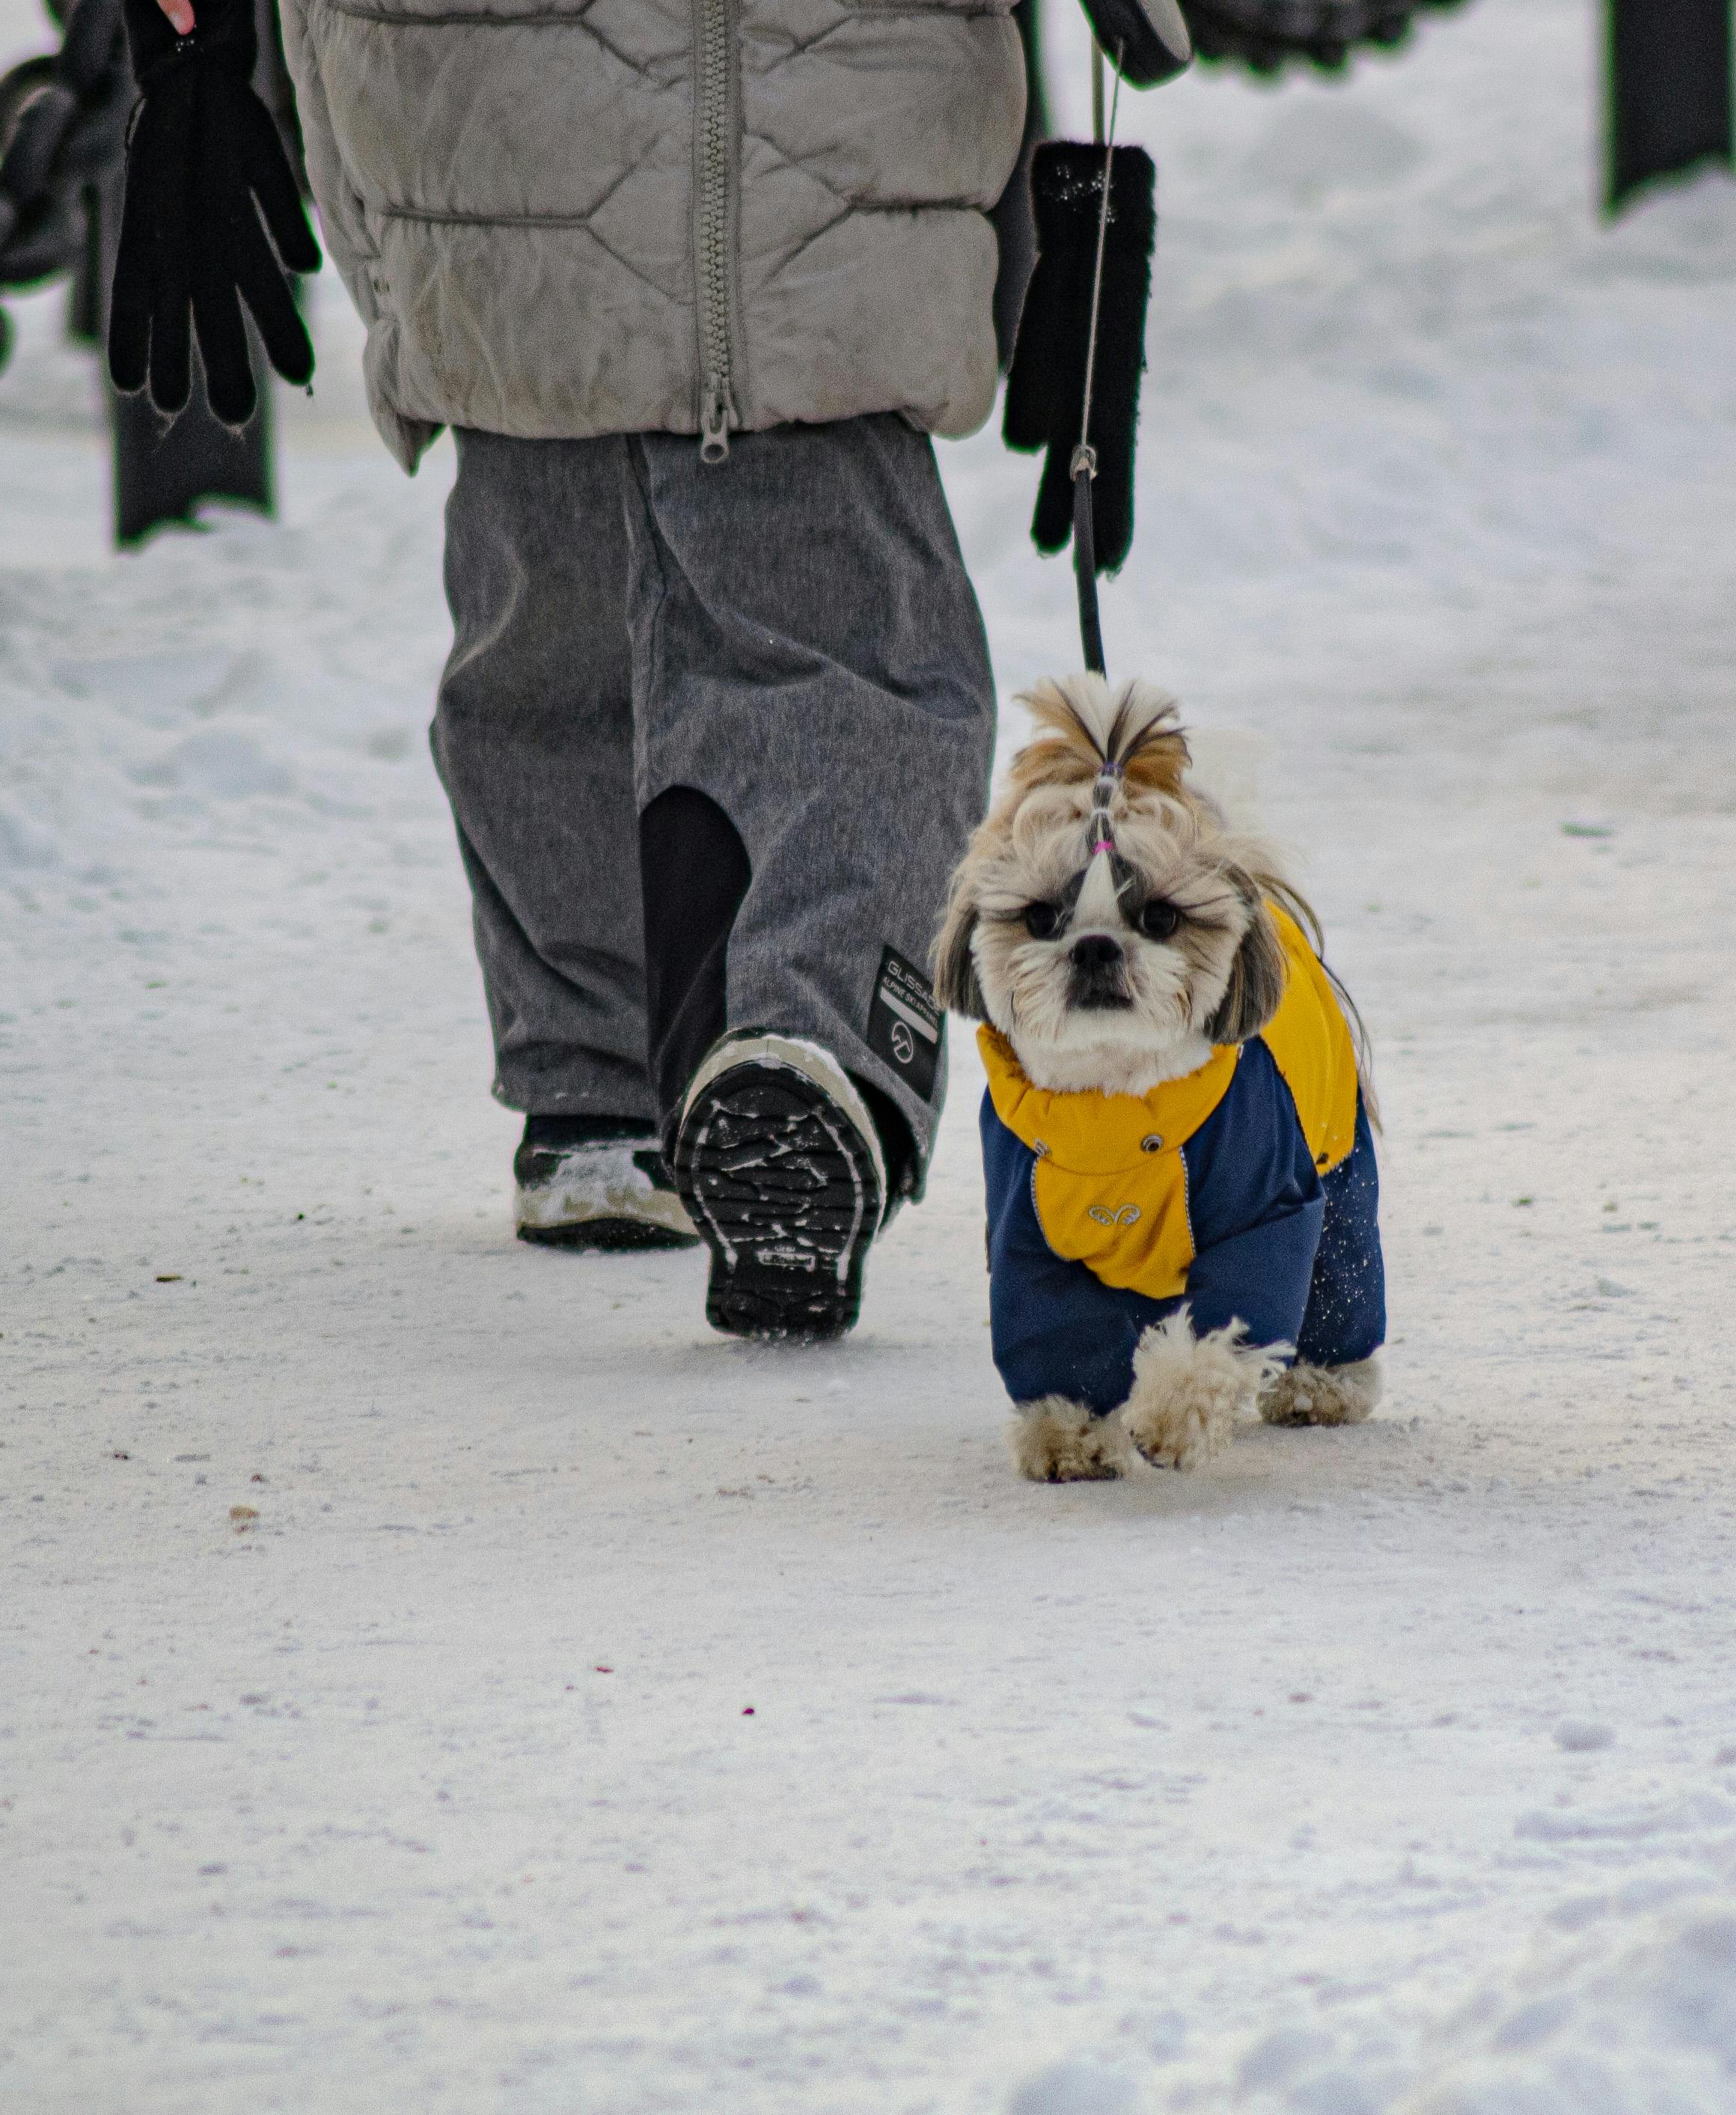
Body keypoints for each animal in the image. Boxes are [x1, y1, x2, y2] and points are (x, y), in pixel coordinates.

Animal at [935, 680, 1378, 1489]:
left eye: (1162, 916)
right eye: (1041, 916)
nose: (1095, 946)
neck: (1116, 1112)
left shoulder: (1267, 1206)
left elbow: (1227, 1319)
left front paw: (1174, 1414)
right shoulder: (1028, 1235)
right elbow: (1057, 1337)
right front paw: (1071, 1434)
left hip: (1342, 1177)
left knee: (1345, 1289)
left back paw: (1325, 1384)